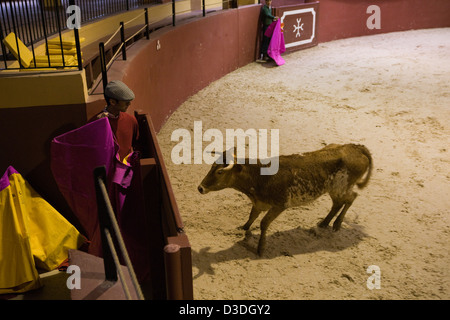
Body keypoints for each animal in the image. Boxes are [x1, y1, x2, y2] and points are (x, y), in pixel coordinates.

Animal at [197, 144, 372, 256]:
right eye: (212, 167)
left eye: (220, 172)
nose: (200, 188)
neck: (260, 176)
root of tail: (356, 147)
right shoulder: (259, 202)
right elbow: (252, 215)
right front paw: (244, 228)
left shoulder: (280, 205)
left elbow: (263, 223)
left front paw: (261, 248)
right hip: (333, 190)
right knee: (337, 203)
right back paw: (324, 223)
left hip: (341, 188)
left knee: (351, 198)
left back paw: (337, 224)